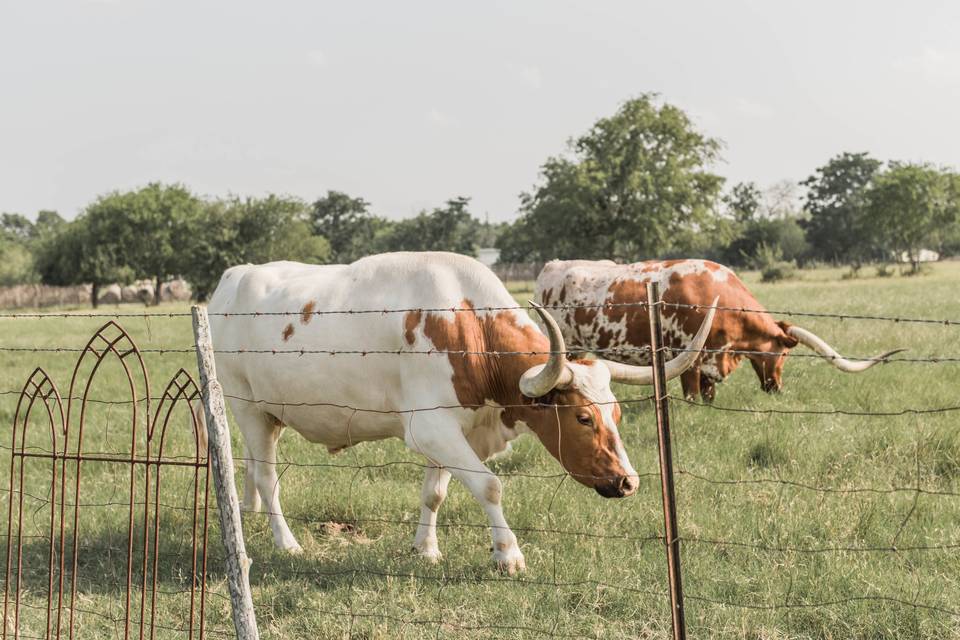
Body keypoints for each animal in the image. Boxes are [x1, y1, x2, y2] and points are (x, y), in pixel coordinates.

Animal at [206, 252, 712, 572]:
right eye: (583, 418)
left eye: (618, 416)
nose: (628, 482)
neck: (468, 325)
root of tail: (234, 278)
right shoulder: (430, 428)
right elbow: (489, 486)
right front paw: (507, 555)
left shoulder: (454, 432)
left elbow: (435, 494)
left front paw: (425, 549)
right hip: (248, 408)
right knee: (267, 477)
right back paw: (286, 542)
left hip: (268, 416)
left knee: (252, 471)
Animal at [536, 258, 904, 400]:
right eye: (784, 354)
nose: (776, 388)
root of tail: (552, 267)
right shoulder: (689, 360)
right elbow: (693, 397)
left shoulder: (710, 364)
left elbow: (709, 396)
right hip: (567, 346)